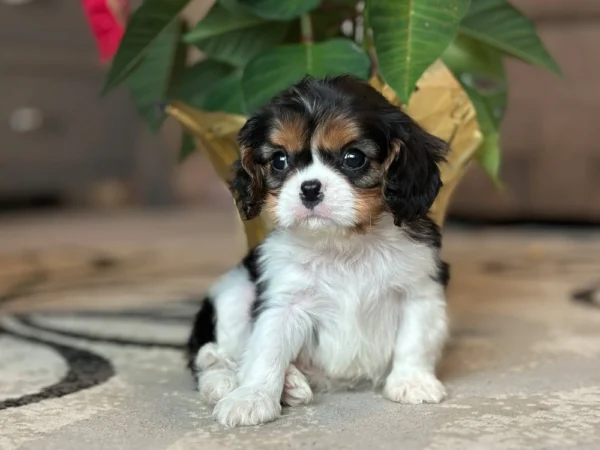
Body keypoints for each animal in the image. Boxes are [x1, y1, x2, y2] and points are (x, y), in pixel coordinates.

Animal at [188, 75, 450, 428]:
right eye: (279, 160)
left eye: (354, 158)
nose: (309, 188)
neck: (343, 243)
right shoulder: (284, 302)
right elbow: (266, 352)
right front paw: (251, 397)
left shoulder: (418, 289)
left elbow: (415, 341)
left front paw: (412, 381)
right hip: (233, 292)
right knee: (214, 359)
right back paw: (235, 382)